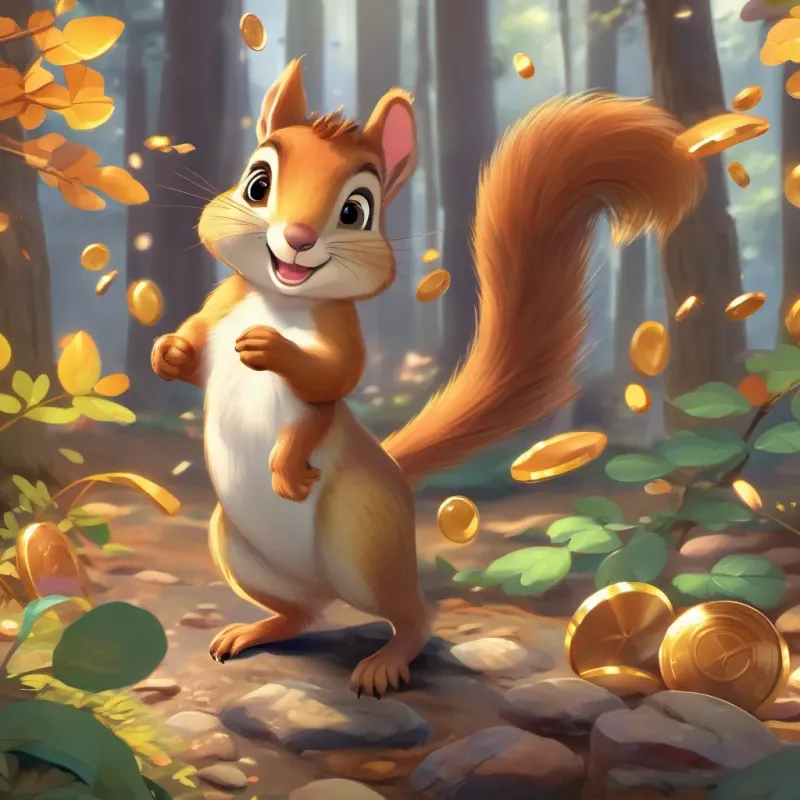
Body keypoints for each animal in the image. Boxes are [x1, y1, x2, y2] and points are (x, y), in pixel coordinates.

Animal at [151, 59, 705, 697]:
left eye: (356, 211)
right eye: (257, 184)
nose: (297, 239)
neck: (276, 298)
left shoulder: (340, 342)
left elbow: (330, 385)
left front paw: (272, 358)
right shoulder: (220, 308)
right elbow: (195, 356)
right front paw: (167, 352)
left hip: (362, 540)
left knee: (413, 615)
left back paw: (387, 661)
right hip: (240, 549)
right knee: (303, 613)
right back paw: (256, 630)